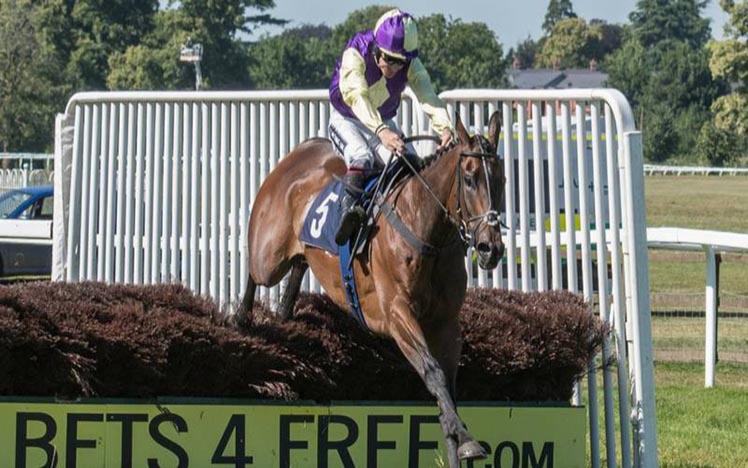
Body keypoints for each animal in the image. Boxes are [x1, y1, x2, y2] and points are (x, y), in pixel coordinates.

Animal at [241, 111, 508, 466]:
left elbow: (447, 390)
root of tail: (303, 149)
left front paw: (460, 443)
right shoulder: (397, 314)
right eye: (469, 178)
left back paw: (283, 314)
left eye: (501, 179)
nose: (491, 248)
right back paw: (241, 320)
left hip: (300, 253)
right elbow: (433, 372)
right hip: (269, 257)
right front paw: (466, 439)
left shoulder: (446, 323)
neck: (425, 230)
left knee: (298, 267)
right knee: (255, 273)